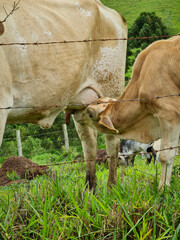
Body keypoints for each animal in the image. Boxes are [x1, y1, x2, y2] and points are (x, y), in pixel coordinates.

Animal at [0, 0, 127, 190]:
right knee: (89, 143)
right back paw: (90, 189)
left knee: (112, 141)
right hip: (82, 104)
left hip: (110, 91)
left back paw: (111, 187)